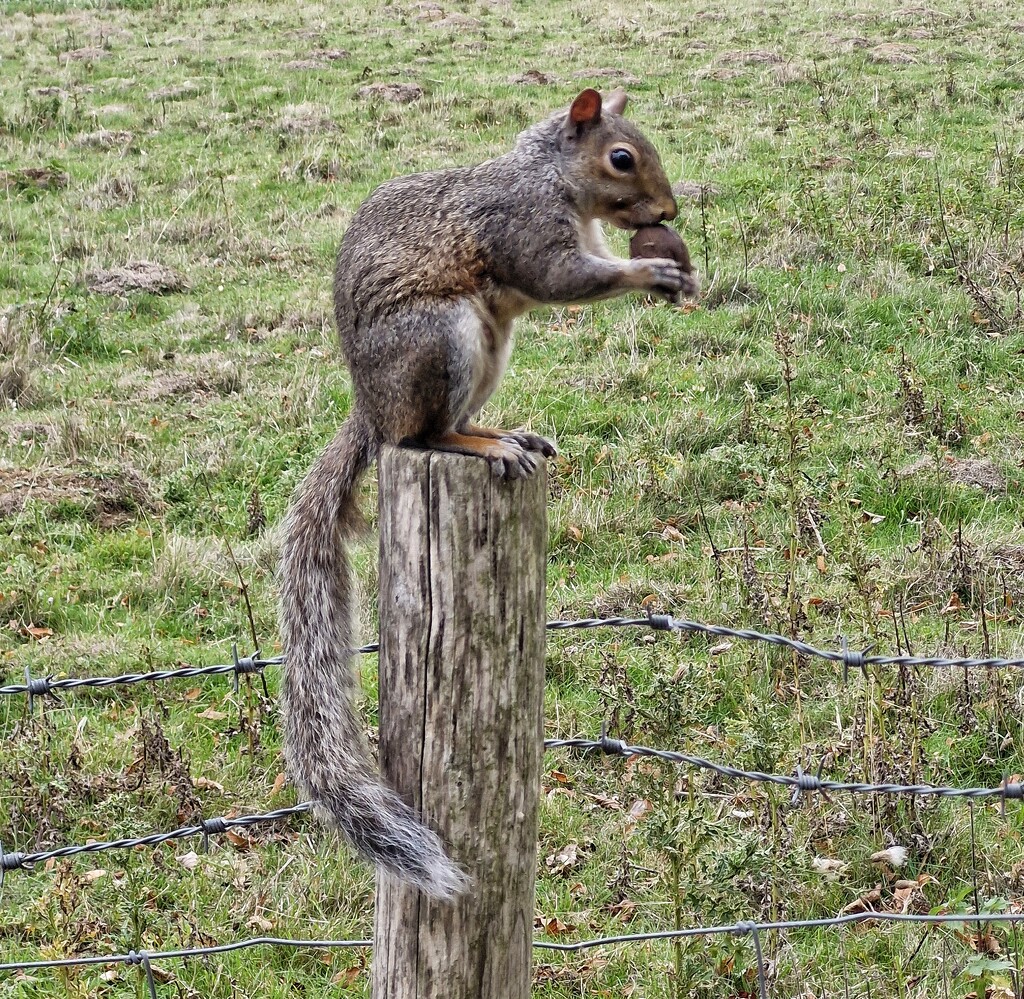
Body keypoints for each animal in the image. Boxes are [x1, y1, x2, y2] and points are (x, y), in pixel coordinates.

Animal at [279, 87, 697, 900]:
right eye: (621, 157)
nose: (669, 210)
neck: (550, 180)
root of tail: (370, 408)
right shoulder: (523, 231)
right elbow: (565, 280)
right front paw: (649, 274)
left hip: (490, 352)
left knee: (453, 421)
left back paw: (510, 433)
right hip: (444, 340)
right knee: (424, 437)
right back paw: (481, 446)